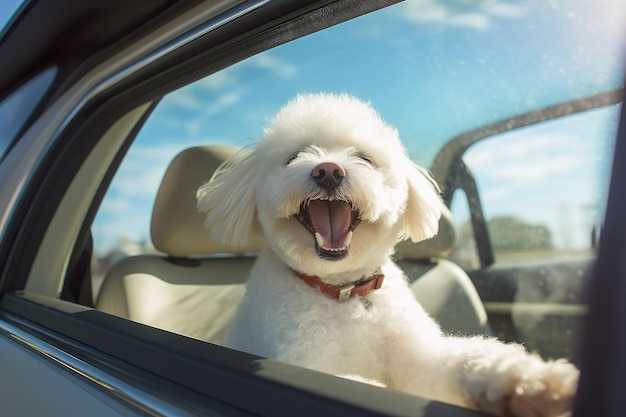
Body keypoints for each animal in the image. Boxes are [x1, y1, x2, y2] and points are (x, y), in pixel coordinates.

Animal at [197, 93, 576, 416]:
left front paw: (528, 380)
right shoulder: (309, 363)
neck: (346, 293)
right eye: (293, 157)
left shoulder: (418, 357)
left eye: (364, 159)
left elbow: (467, 357)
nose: (328, 170)